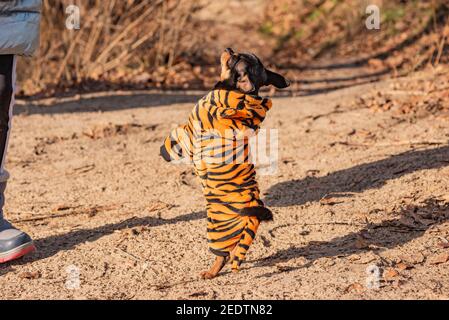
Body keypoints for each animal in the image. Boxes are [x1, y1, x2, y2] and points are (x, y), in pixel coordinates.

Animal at [159, 48, 288, 280]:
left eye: (235, 59)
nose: (229, 49)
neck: (238, 97)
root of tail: (252, 214)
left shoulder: (190, 130)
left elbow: (175, 137)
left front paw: (165, 151)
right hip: (242, 234)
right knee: (237, 252)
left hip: (218, 231)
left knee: (223, 256)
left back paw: (210, 273)